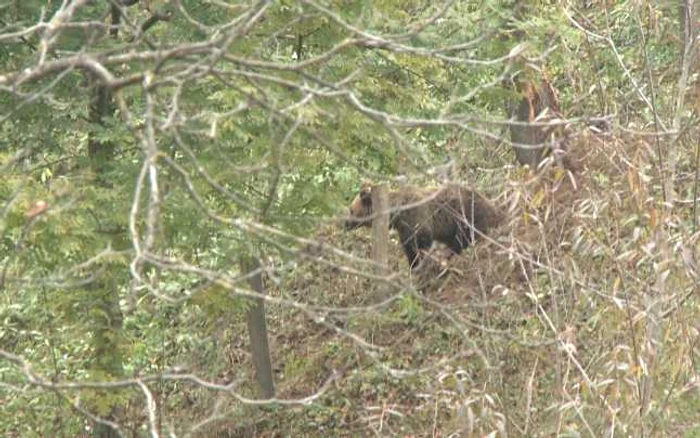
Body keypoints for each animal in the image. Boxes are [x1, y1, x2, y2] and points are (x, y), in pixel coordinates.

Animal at [344, 182, 504, 270]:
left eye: (351, 210)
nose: (345, 223)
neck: (396, 214)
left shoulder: (418, 219)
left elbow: (421, 243)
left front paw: (421, 264)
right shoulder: (404, 229)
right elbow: (409, 249)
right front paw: (413, 266)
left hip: (466, 214)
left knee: (464, 237)